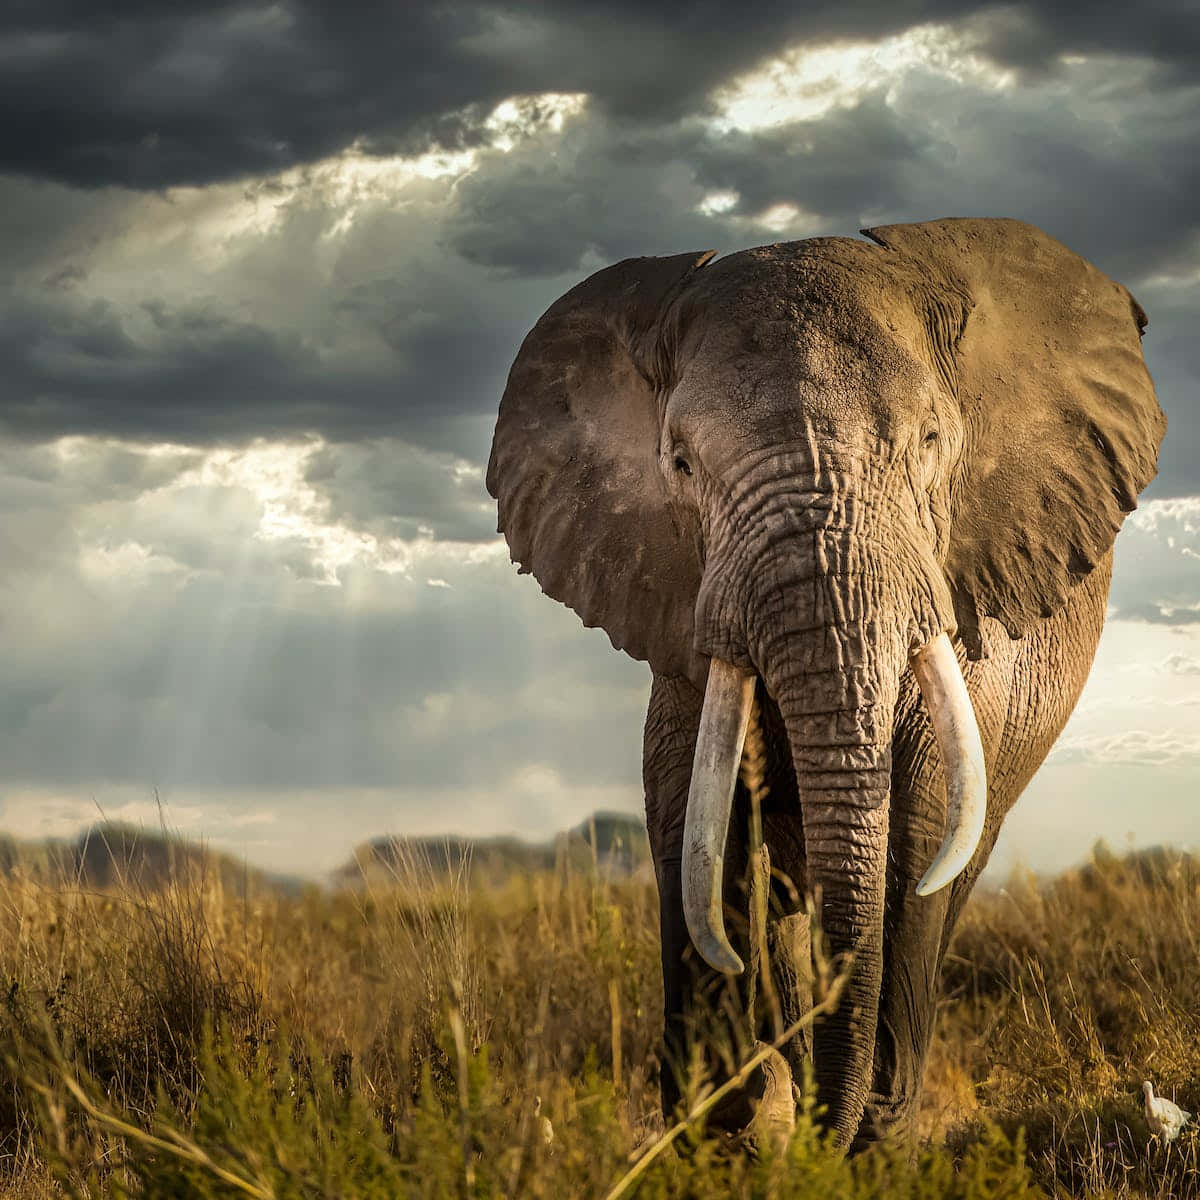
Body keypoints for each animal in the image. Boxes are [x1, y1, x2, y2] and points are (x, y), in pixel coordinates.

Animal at [482, 220, 1166, 1147]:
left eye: (931, 442)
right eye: (681, 463)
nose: (826, 1133)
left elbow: (921, 820)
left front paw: (864, 1132)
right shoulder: (678, 595)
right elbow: (689, 808)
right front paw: (726, 1120)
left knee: (951, 867)